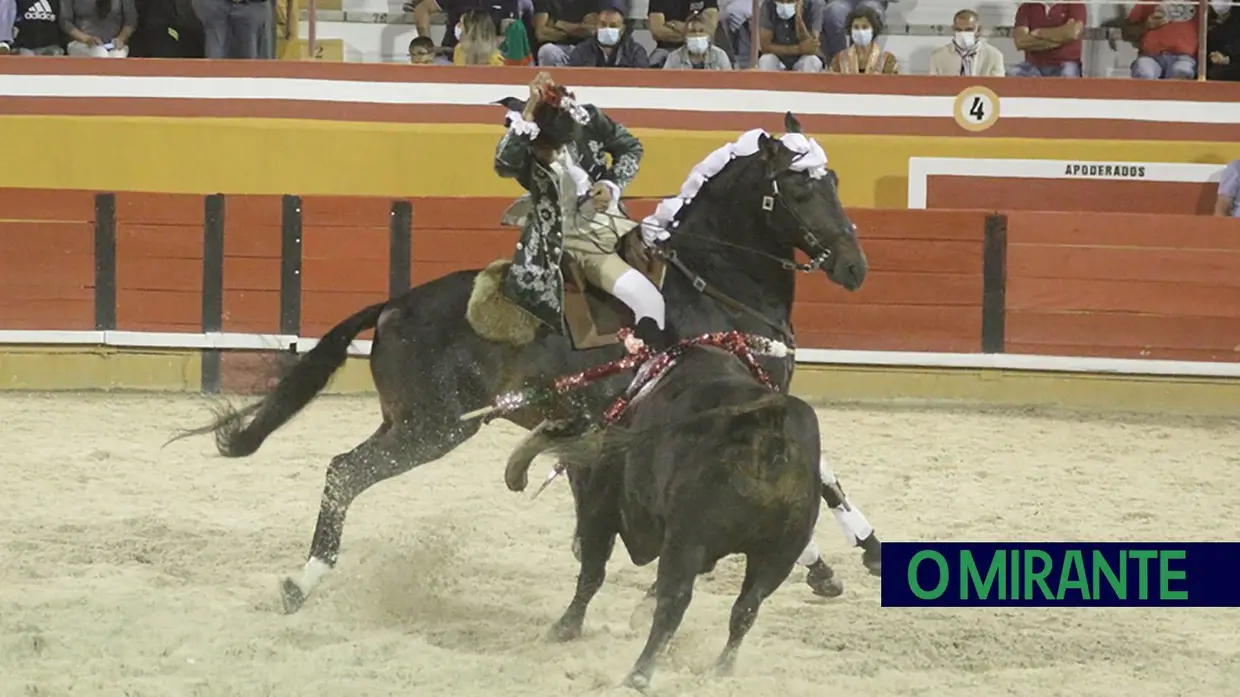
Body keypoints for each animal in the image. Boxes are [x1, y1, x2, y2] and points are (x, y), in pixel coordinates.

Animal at [174, 110, 872, 610]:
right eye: (800, 191)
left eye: (835, 182)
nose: (854, 268)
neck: (714, 285)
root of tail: (396, 303)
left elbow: (825, 474)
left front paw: (852, 554)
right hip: (435, 429)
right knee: (345, 472)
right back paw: (303, 581)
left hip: (408, 421)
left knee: (344, 468)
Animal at [530, 344, 823, 684]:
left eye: (574, 477)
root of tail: (770, 432)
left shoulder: (600, 508)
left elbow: (592, 573)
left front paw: (564, 628)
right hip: (780, 553)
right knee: (747, 608)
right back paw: (720, 670)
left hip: (688, 541)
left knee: (674, 602)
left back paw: (639, 675)